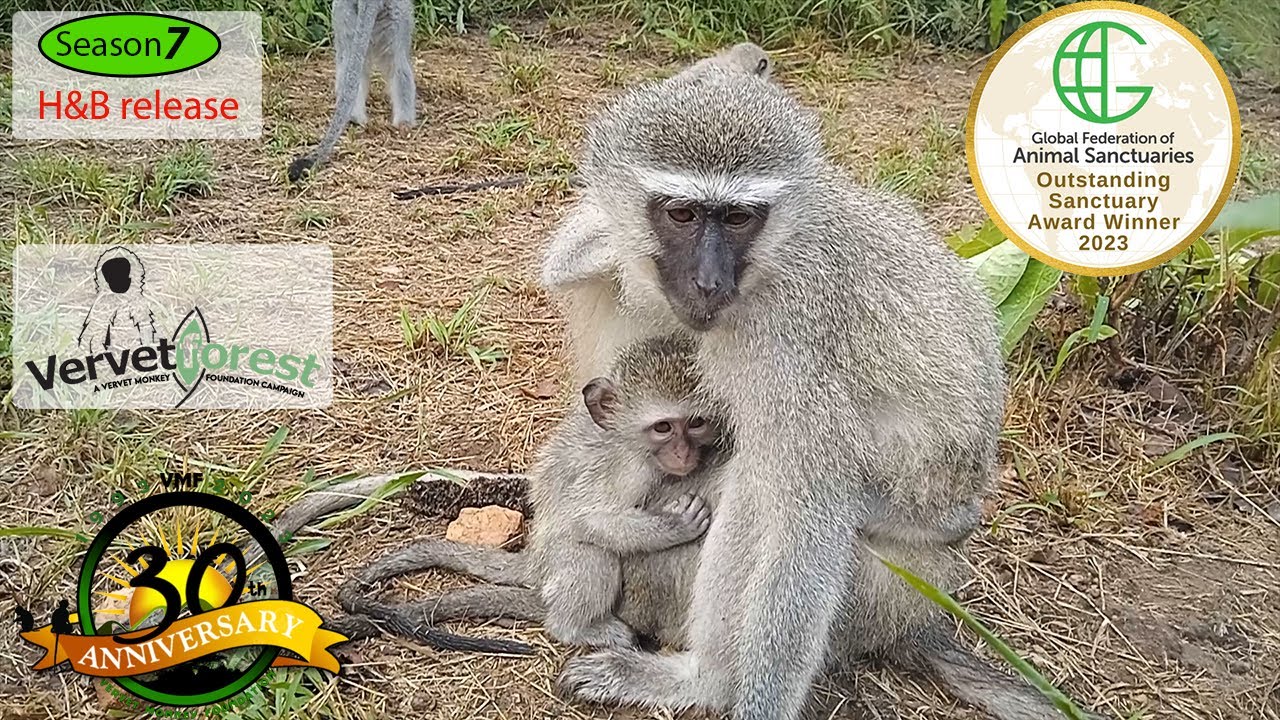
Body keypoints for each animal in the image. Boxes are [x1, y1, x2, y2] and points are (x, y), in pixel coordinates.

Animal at [287, 0, 416, 183]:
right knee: (399, 64)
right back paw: (404, 122)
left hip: (342, 13)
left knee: (348, 60)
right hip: (397, 12)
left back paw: (354, 117)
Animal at [537, 51, 1074, 720]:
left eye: (739, 217)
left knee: (760, 489)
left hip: (881, 586)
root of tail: (917, 616)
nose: (709, 282)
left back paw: (701, 683)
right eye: (682, 213)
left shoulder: (792, 344)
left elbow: (808, 522)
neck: (772, 262)